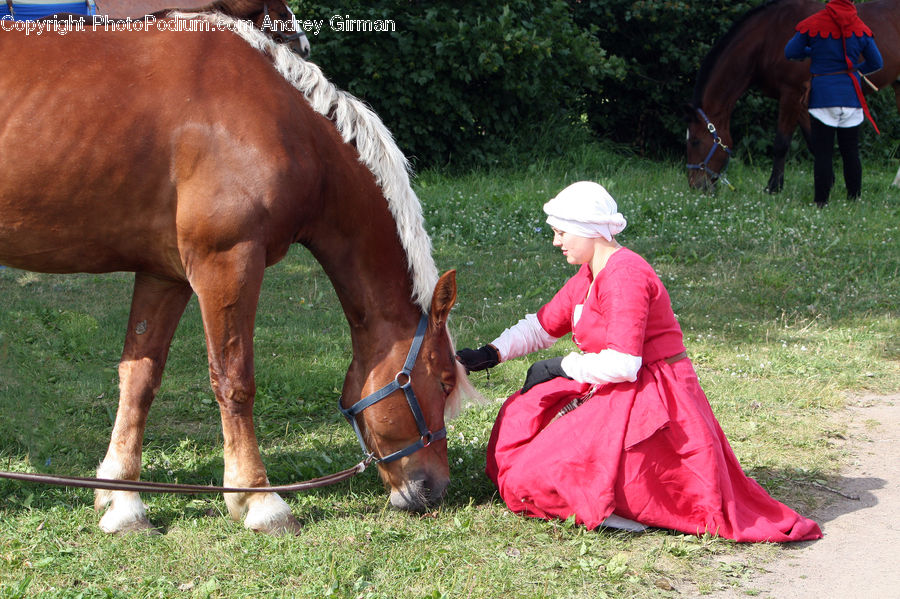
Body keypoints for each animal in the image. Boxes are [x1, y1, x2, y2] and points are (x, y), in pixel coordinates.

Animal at [0, 12, 474, 534]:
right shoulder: (227, 262)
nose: (434, 489)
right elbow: (234, 380)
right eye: (444, 382)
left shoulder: (164, 274)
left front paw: (123, 500)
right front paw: (258, 499)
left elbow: (139, 378)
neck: (282, 123)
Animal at [685, 0, 900, 193]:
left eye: (695, 141)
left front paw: (773, 188)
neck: (769, 37)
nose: (696, 186)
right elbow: (814, 142)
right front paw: (828, 181)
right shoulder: (803, 101)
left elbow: (781, 143)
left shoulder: (791, 94)